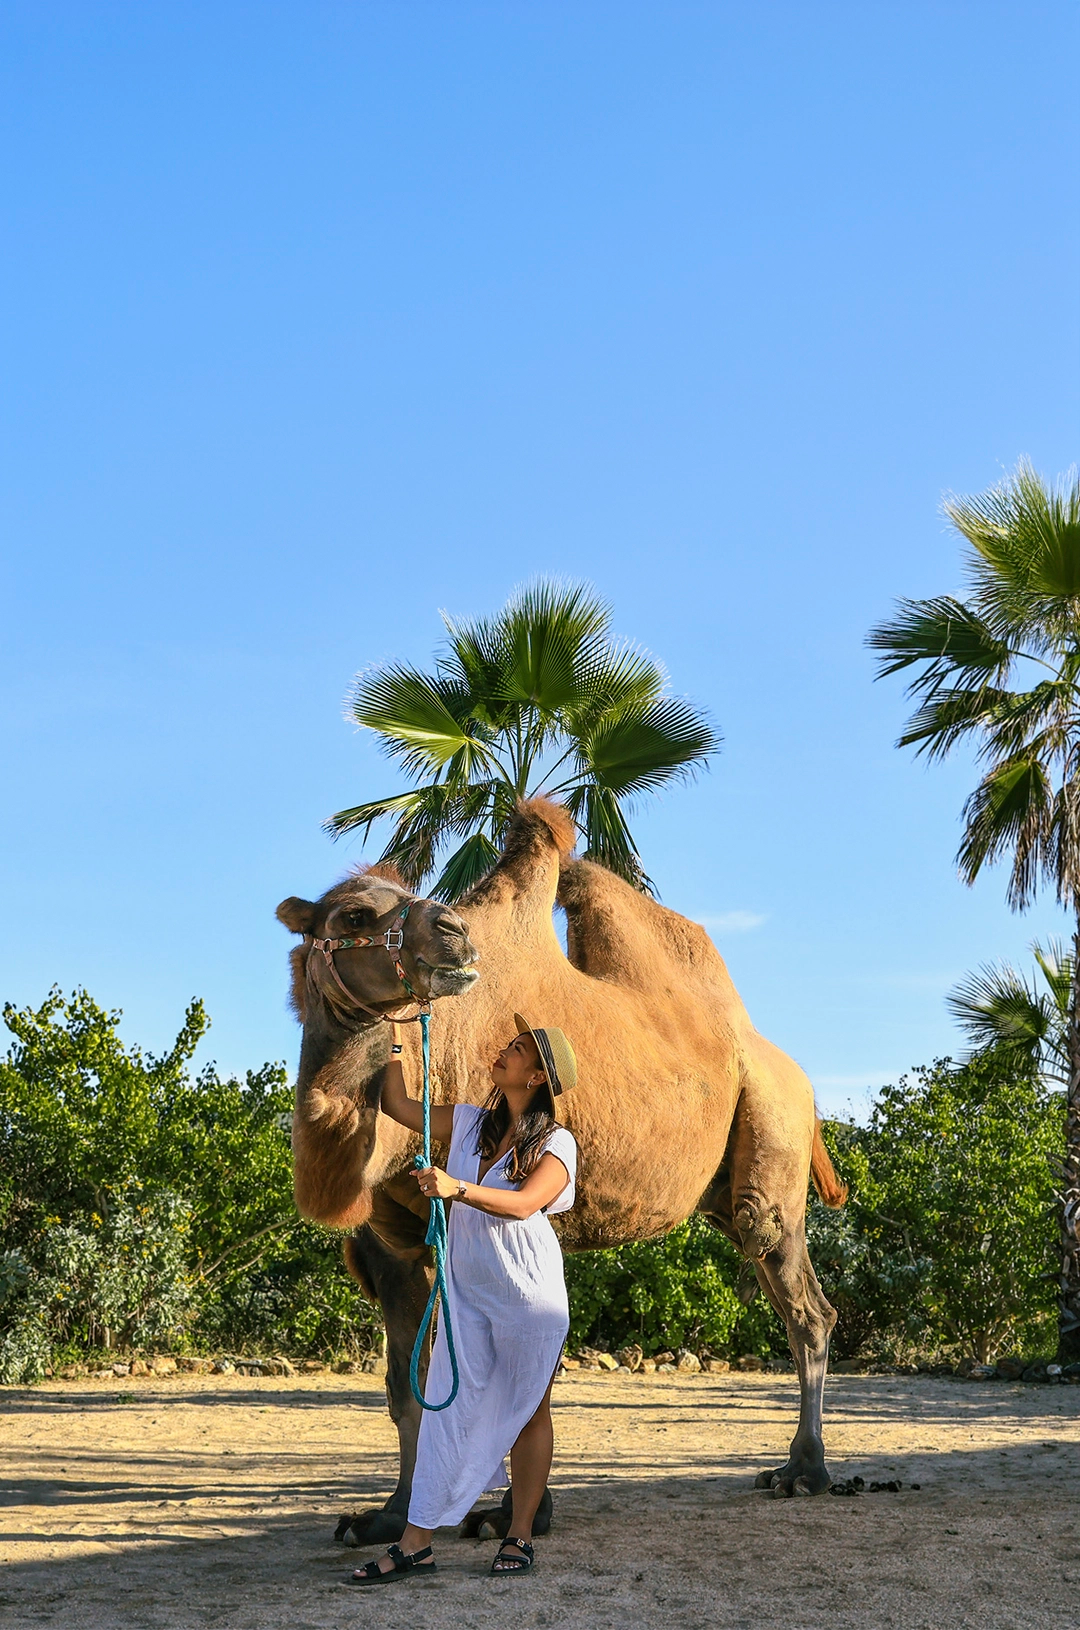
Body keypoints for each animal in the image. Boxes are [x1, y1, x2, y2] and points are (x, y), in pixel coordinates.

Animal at [276, 799, 845, 1541]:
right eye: (351, 916)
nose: (453, 935)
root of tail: (793, 1073)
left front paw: (511, 1517)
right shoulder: (392, 1245)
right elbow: (408, 1385)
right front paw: (390, 1515)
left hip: (771, 1140)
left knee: (797, 1291)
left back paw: (805, 1471)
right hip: (723, 1189)